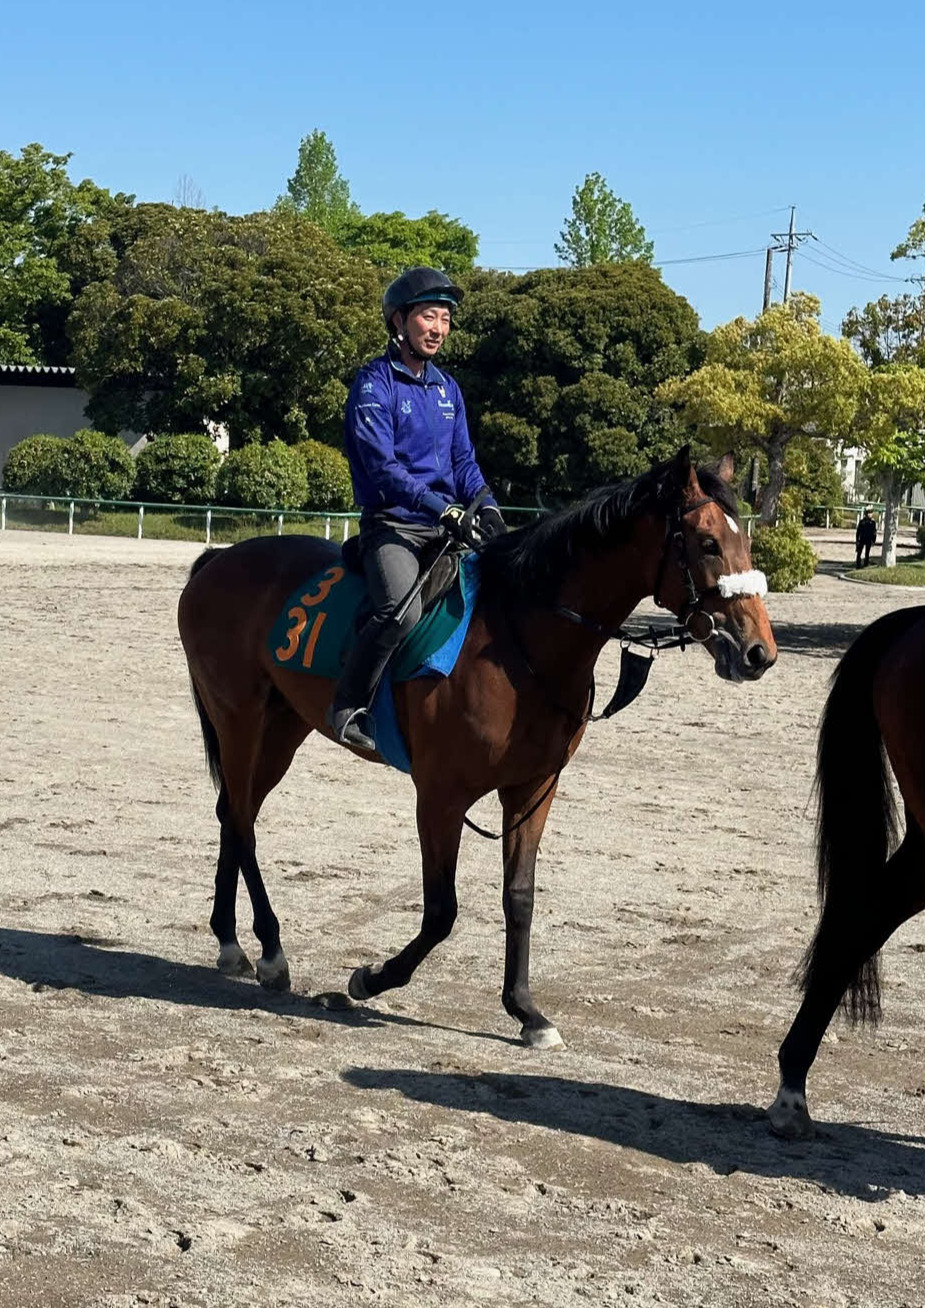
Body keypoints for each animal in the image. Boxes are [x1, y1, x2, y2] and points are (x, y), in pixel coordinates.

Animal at [178, 447, 776, 1048]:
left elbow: (520, 897)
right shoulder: (441, 796)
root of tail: (219, 561)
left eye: (745, 542)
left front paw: (526, 1010)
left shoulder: (533, 790)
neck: (518, 640)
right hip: (240, 721)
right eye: (707, 542)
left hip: (282, 730)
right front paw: (371, 977)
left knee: (234, 812)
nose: (759, 652)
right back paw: (271, 951)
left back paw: (231, 942)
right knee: (242, 820)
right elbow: (441, 911)